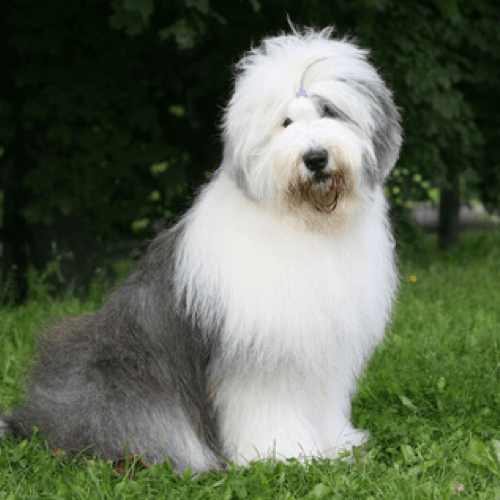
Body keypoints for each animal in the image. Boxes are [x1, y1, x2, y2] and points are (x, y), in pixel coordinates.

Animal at [0, 25, 402, 474]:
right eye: (285, 122)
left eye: (330, 111)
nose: (315, 158)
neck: (303, 222)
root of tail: (38, 420)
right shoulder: (262, 354)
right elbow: (271, 407)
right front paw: (284, 454)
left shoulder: (324, 350)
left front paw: (338, 446)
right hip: (127, 384)